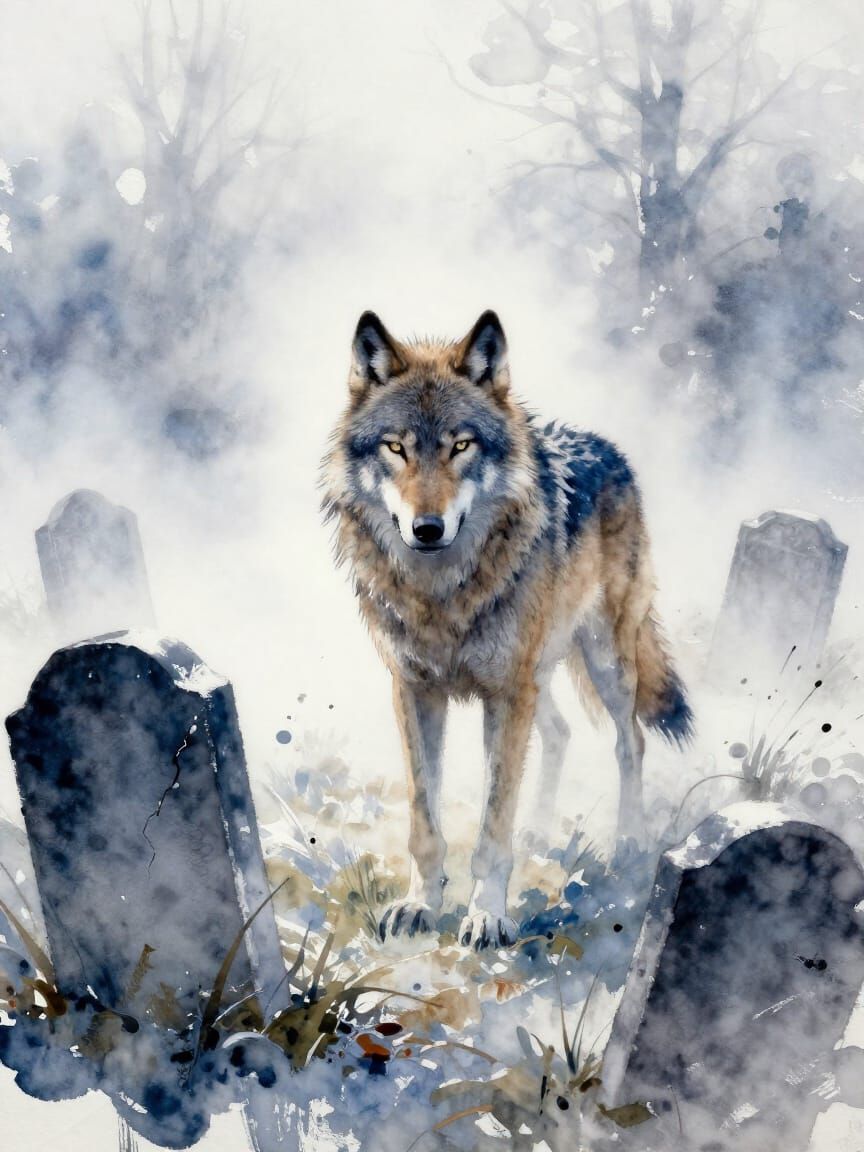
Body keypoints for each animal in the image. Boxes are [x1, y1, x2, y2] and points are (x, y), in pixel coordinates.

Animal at [321, 310, 693, 950]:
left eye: (460, 446)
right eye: (396, 448)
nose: (426, 528)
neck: (442, 595)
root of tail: (607, 447)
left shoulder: (506, 692)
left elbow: (495, 824)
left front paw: (487, 916)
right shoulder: (415, 689)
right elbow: (425, 816)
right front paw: (420, 906)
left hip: (601, 661)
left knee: (631, 741)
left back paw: (629, 842)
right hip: (538, 677)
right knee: (562, 733)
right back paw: (542, 833)